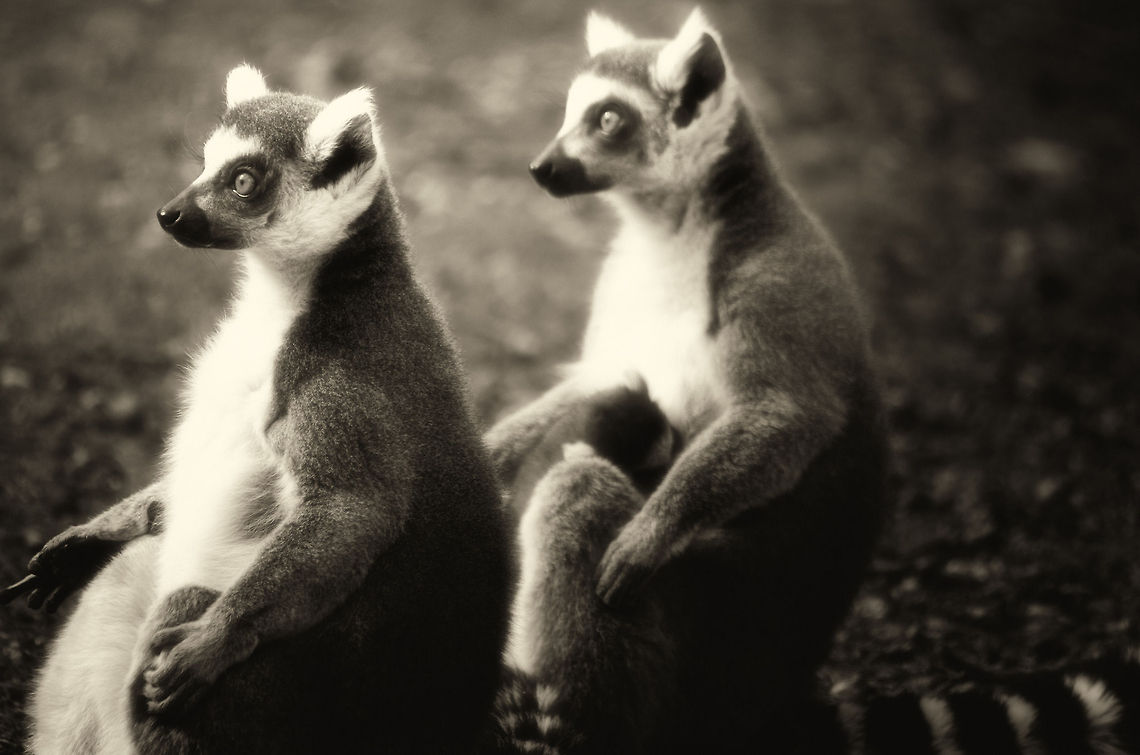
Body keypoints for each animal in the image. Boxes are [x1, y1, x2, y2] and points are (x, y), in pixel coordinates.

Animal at [8, 65, 511, 754]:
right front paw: (93, 534)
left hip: (280, 707)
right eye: (204, 163)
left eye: (243, 181)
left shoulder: (342, 385)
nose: (169, 213)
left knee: (183, 609)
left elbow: (355, 511)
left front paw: (213, 641)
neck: (296, 296)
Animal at [483, 8, 888, 751]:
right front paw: (491, 450)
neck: (669, 236)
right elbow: (598, 377)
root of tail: (771, 691)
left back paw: (569, 720)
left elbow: (787, 415)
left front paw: (649, 533)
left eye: (608, 118)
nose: (542, 167)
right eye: (570, 111)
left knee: (579, 491)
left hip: (701, 646)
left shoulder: (772, 288)